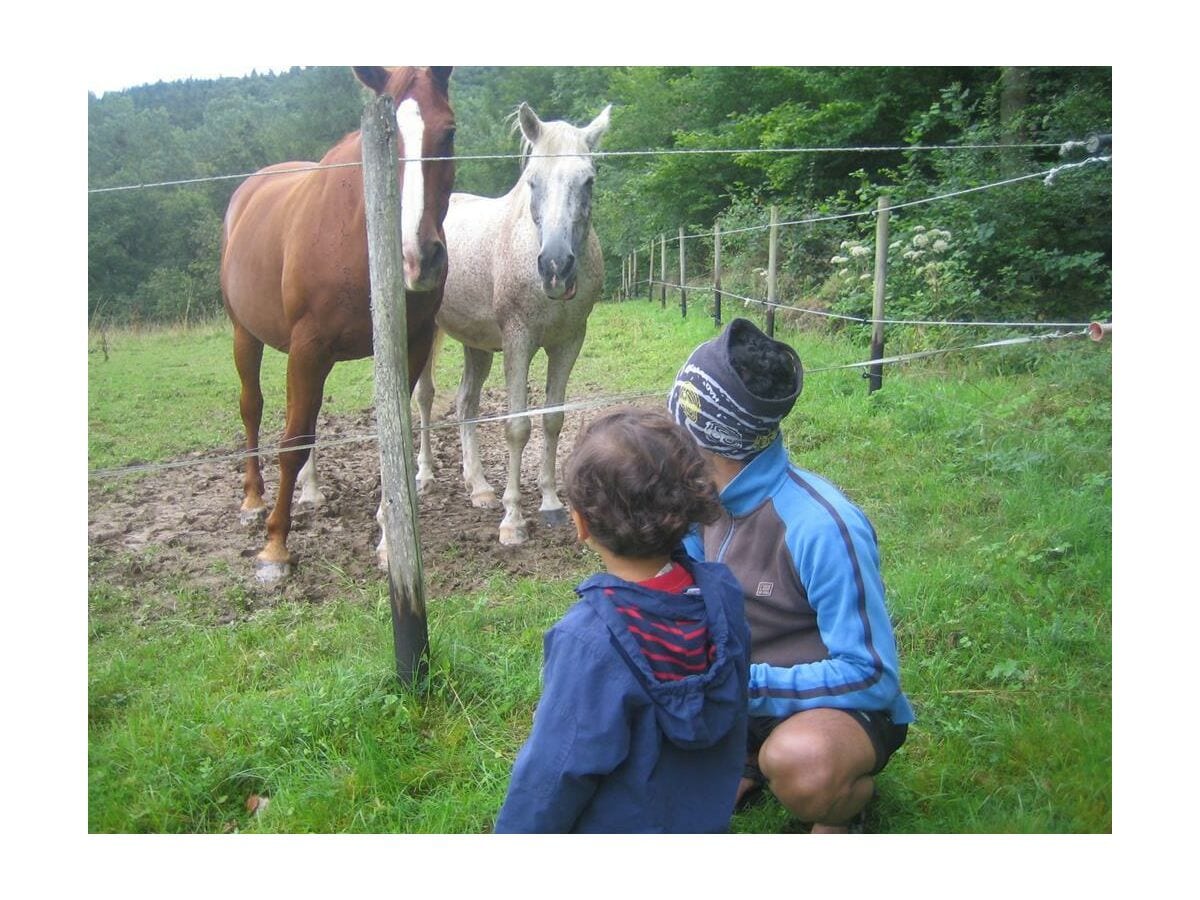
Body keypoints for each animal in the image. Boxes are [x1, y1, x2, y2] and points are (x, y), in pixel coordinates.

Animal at [220, 66, 453, 580]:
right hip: (246, 334)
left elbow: (393, 437)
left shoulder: (410, 344)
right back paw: (253, 499)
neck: (356, 238)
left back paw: (310, 490)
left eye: (448, 132)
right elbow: (290, 442)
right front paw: (275, 547)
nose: (420, 259)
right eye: (381, 139)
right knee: (254, 408)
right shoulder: (309, 347)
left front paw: (388, 541)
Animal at [410, 102, 609, 547]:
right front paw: (513, 521)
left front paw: (551, 503)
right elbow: (517, 427)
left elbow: (553, 420)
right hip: (424, 335)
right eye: (532, 181)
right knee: (425, 397)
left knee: (466, 403)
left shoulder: (569, 341)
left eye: (588, 180)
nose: (555, 266)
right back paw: (425, 475)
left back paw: (480, 488)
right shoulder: (519, 341)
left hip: (477, 346)